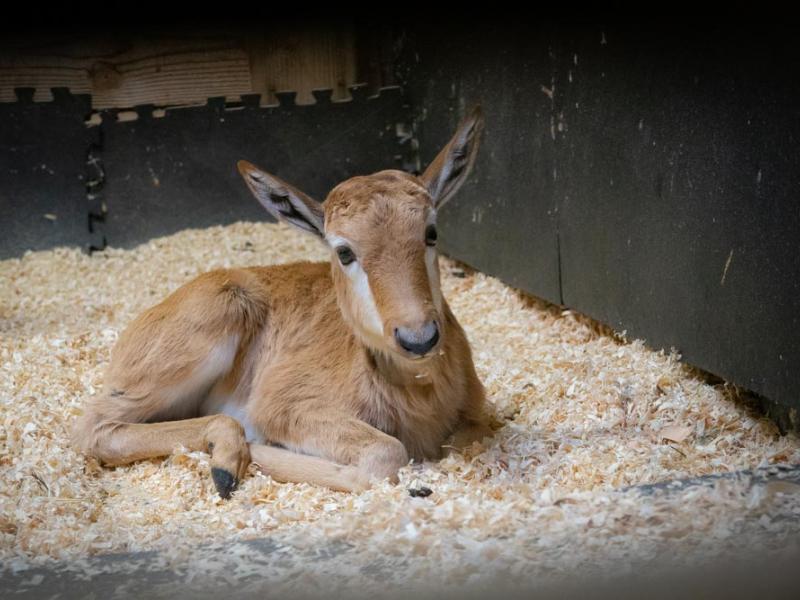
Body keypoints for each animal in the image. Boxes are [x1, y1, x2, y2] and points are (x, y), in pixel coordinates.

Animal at [72, 106, 490, 496]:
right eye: (344, 251)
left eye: (430, 232)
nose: (418, 338)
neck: (417, 389)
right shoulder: (283, 405)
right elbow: (386, 453)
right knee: (96, 425)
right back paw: (226, 462)